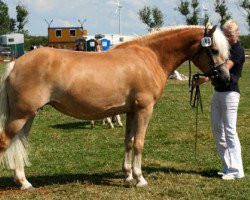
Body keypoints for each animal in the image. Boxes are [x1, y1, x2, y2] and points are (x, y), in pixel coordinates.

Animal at [0, 24, 229, 190]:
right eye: (214, 50)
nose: (225, 78)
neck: (150, 56)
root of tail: (16, 63)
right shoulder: (145, 110)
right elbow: (139, 143)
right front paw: (140, 179)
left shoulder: (130, 111)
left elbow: (129, 142)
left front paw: (127, 175)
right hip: (21, 115)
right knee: (5, 141)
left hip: (28, 116)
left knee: (18, 143)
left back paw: (24, 182)